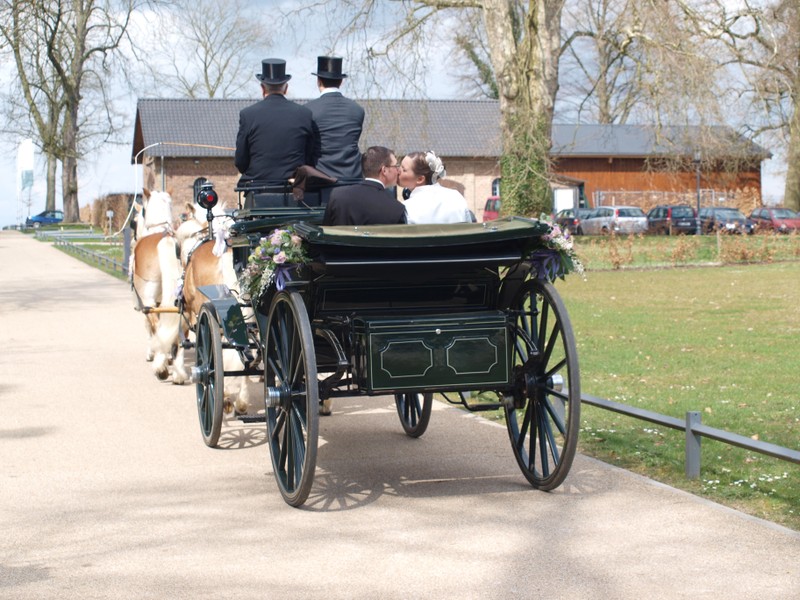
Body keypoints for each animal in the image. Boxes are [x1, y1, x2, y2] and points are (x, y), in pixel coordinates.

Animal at [130, 189, 188, 384]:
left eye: (134, 222)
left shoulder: (147, 302)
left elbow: (150, 327)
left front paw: (153, 354)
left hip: (148, 299)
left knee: (155, 325)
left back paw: (161, 367)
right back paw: (178, 372)